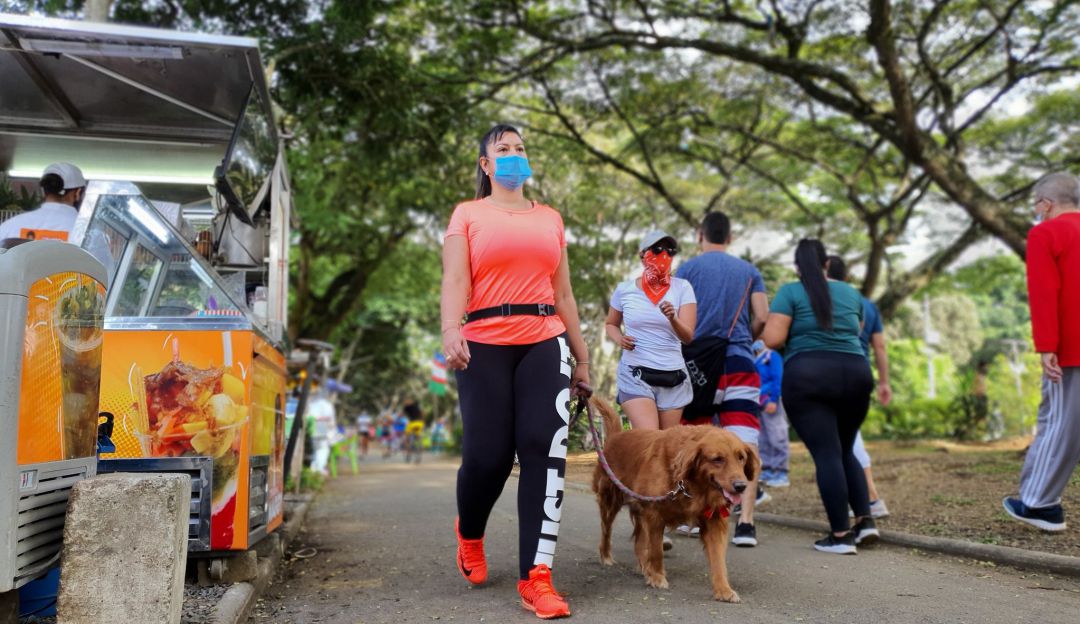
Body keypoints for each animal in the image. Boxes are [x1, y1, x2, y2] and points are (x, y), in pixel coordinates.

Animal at [591, 395, 760, 600]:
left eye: (741, 457)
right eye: (717, 459)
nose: (741, 486)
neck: (691, 483)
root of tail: (616, 435)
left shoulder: (713, 520)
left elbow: (719, 560)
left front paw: (723, 589)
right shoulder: (654, 515)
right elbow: (656, 551)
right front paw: (657, 577)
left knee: (639, 540)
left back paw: (643, 566)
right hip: (611, 501)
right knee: (606, 531)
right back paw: (607, 556)